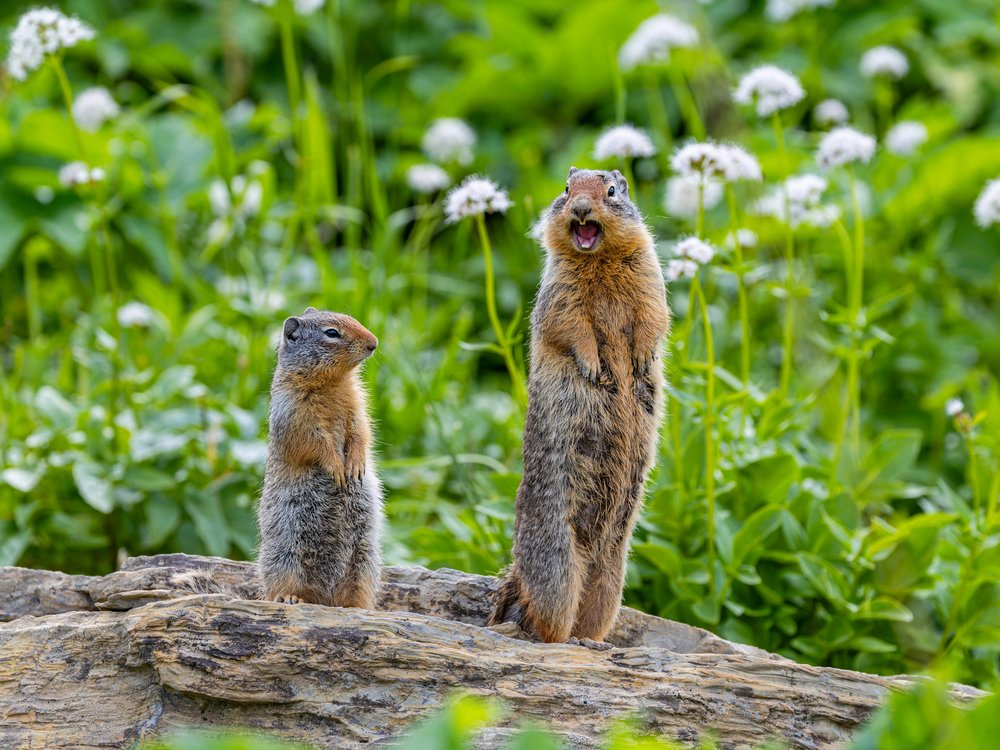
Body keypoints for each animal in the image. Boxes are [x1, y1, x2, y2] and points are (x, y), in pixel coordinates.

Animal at [489, 167, 670, 644]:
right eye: (567, 189)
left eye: (611, 190)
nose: (582, 209)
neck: (598, 260)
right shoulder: (559, 291)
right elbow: (572, 326)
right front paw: (596, 369)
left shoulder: (649, 274)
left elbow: (654, 315)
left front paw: (640, 361)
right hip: (556, 565)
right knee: (545, 619)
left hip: (612, 575)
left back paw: (591, 641)